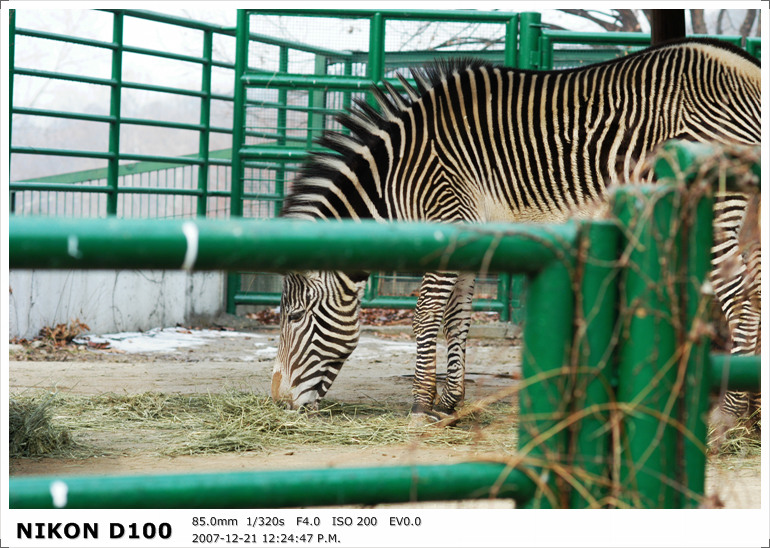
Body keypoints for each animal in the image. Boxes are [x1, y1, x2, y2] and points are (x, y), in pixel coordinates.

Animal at [268, 37, 756, 420]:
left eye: (294, 317)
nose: (277, 400)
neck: (393, 176)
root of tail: (745, 66)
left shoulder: (444, 222)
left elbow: (427, 315)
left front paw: (421, 405)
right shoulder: (466, 234)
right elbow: (458, 318)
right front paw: (450, 404)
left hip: (713, 207)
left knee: (743, 302)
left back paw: (729, 415)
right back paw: (752, 418)